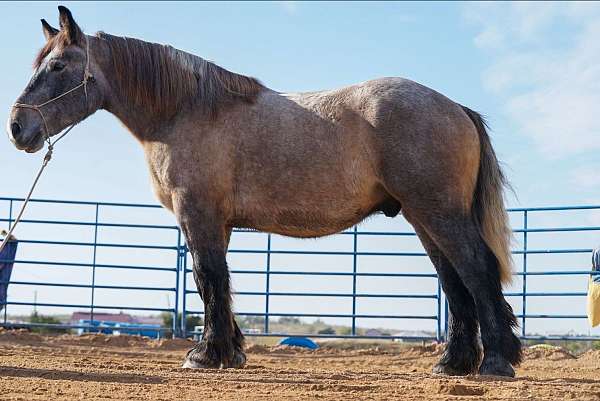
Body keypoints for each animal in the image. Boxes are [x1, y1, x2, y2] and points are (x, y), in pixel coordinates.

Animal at [5, 5, 520, 376]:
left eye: (58, 65)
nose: (17, 127)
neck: (186, 111)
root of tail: (455, 106)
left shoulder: (198, 216)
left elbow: (208, 278)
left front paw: (204, 355)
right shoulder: (217, 223)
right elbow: (220, 283)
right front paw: (229, 352)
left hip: (438, 212)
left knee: (476, 268)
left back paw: (496, 361)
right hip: (423, 216)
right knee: (454, 280)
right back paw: (453, 364)